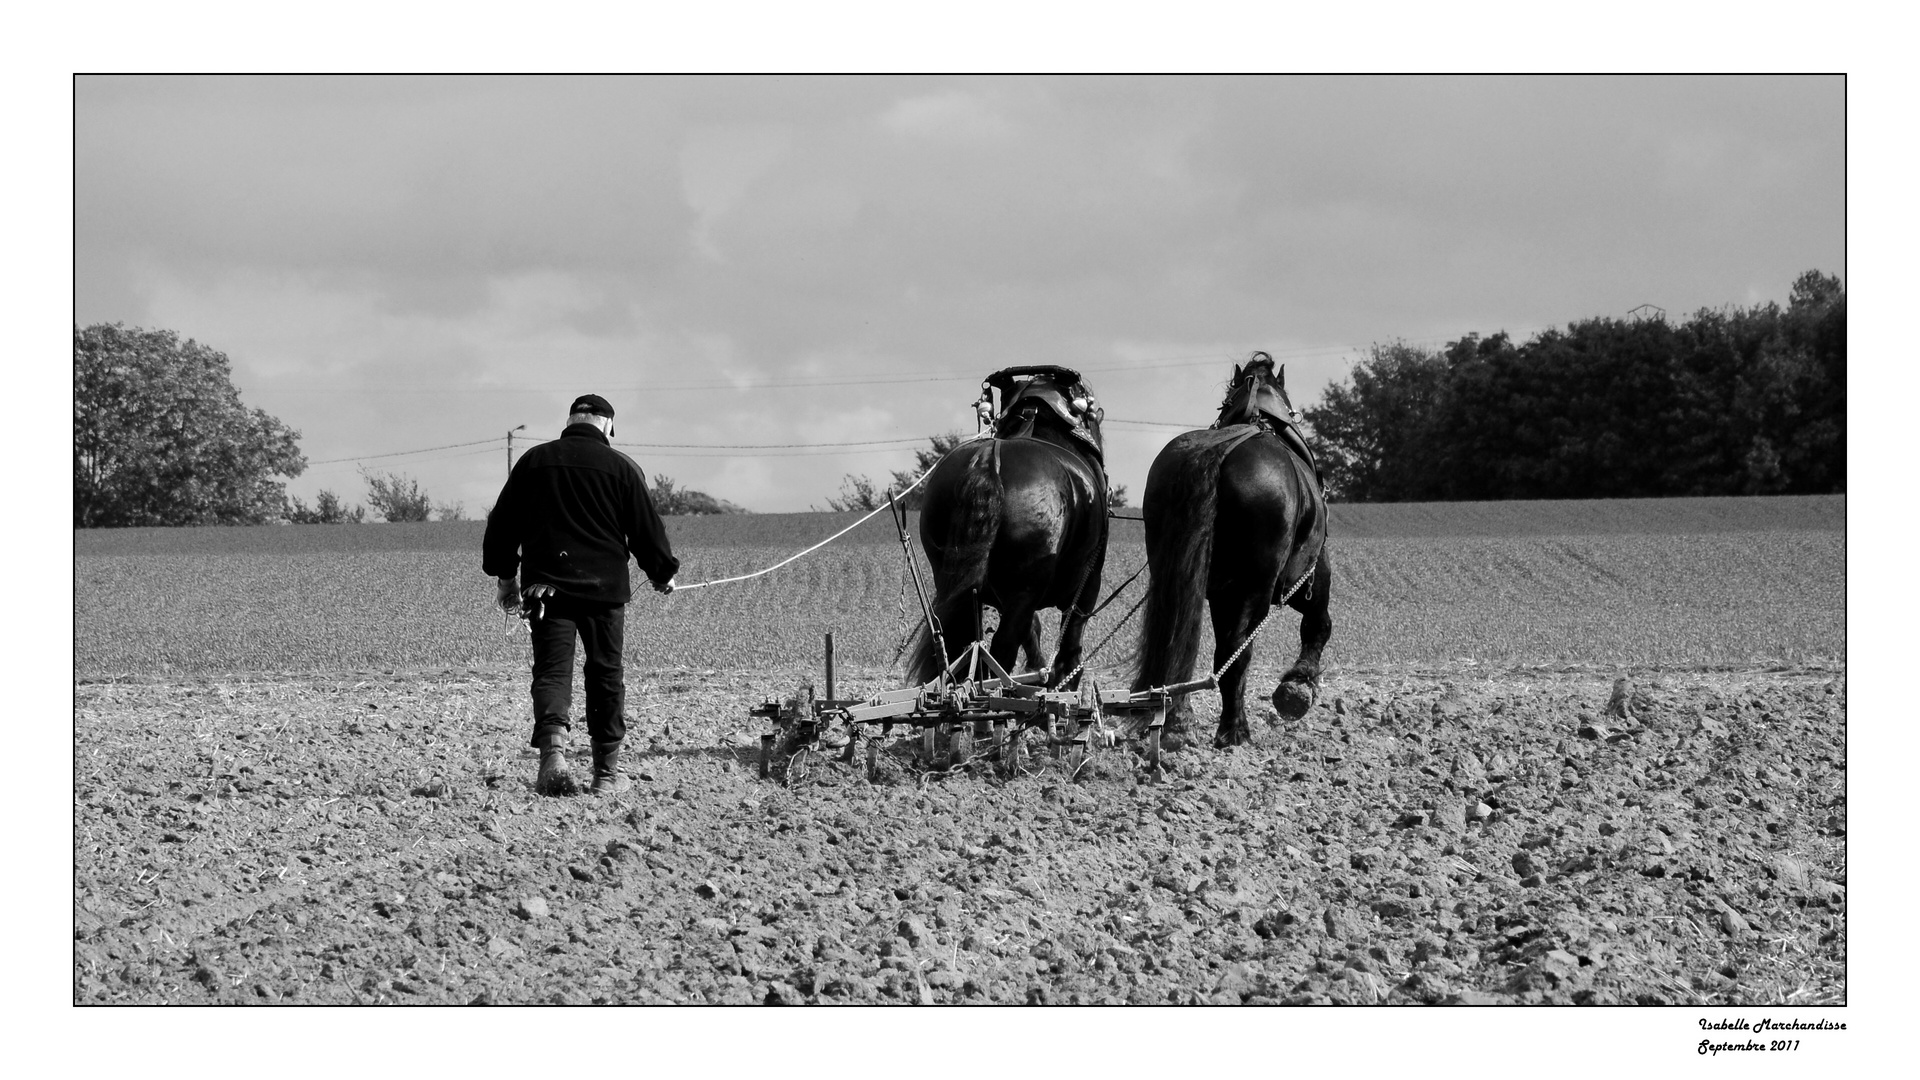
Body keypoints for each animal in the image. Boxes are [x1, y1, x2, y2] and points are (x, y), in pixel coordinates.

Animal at [902, 365, 1105, 684]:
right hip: (1026, 586)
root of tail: (987, 461)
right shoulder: (1087, 584)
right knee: (1003, 649)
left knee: (964, 640)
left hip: (955, 579)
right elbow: (1069, 648)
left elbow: (1032, 629)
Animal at [1121, 349, 1336, 745]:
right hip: (1253, 587)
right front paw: (1298, 687)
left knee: (1180, 639)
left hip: (1179, 576)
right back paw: (1234, 730)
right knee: (1236, 651)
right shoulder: (1308, 576)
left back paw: (1175, 718)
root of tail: (1215, 455)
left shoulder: (1219, 592)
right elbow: (1318, 625)